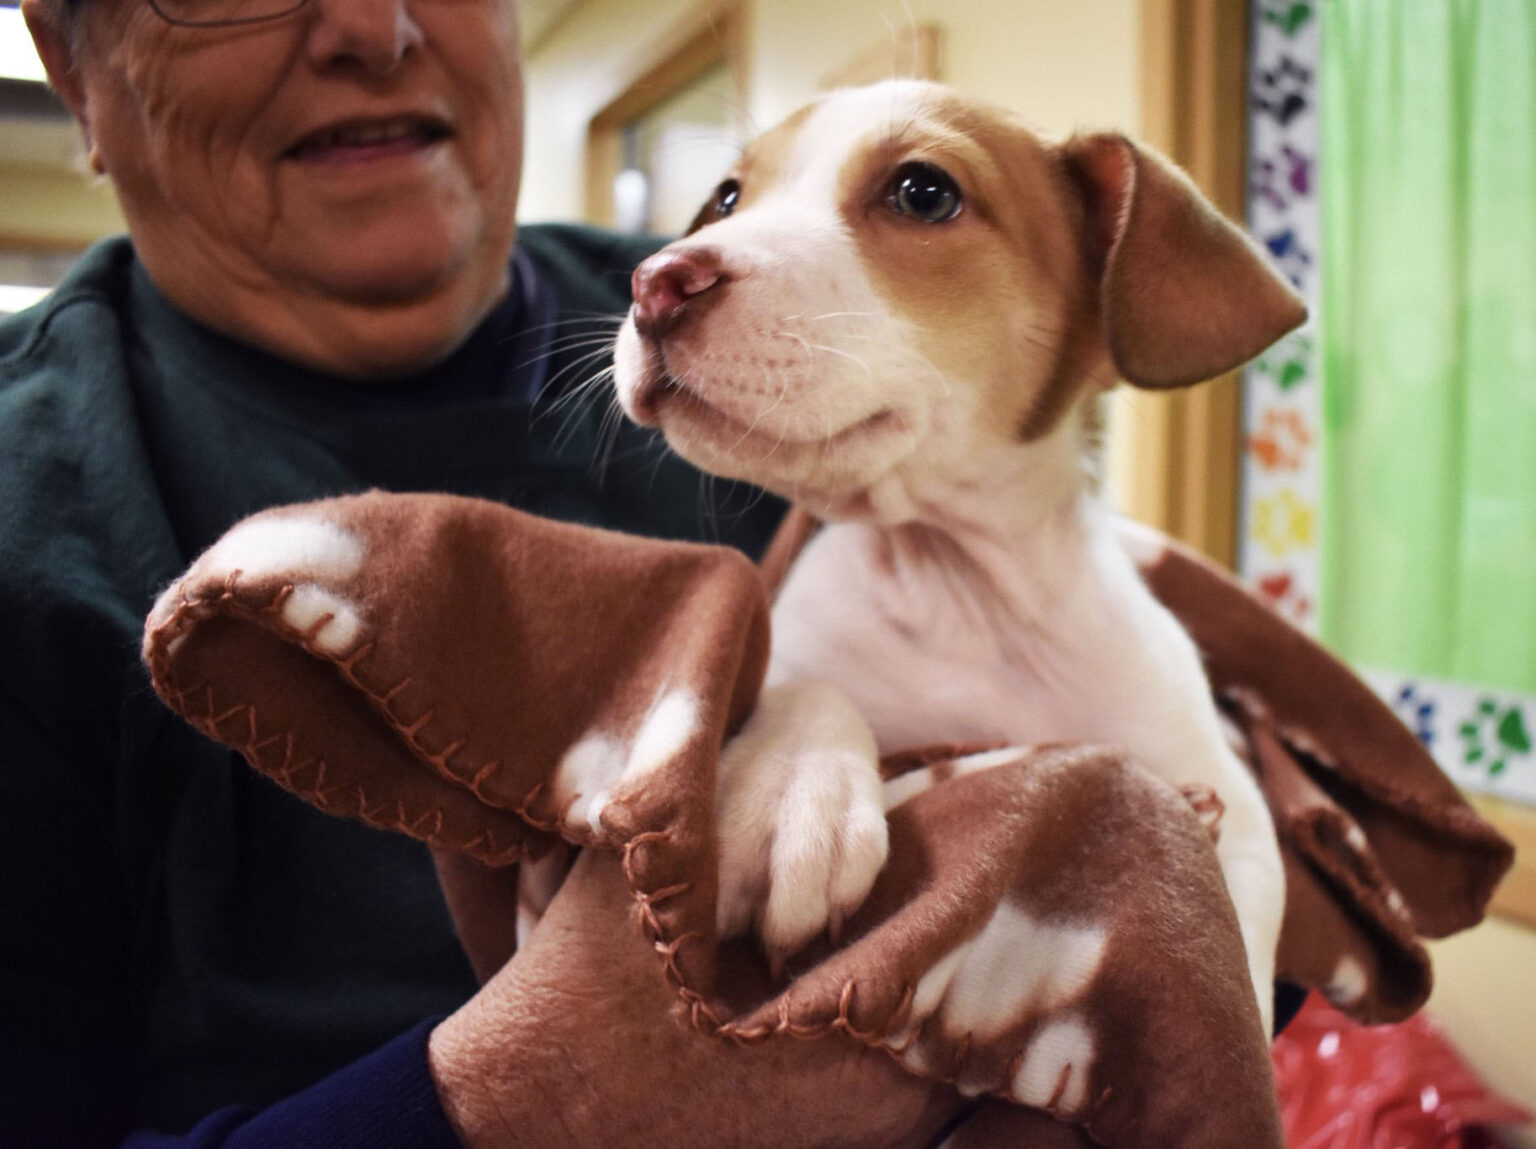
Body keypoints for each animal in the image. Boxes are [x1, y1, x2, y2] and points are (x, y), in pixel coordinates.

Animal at [605, 80, 1302, 1032]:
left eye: (923, 193)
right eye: (726, 197)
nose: (654, 283)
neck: (956, 583)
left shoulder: (1230, 805)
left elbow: (1239, 959)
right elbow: (800, 679)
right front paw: (790, 789)